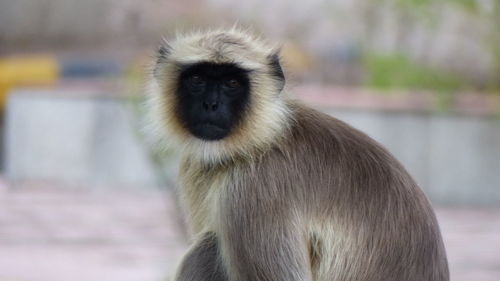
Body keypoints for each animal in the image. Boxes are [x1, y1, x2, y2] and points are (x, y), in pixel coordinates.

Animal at [146, 27, 450, 280]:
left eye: (232, 84)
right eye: (197, 79)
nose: (211, 105)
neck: (258, 142)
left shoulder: (254, 190)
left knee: (209, 248)